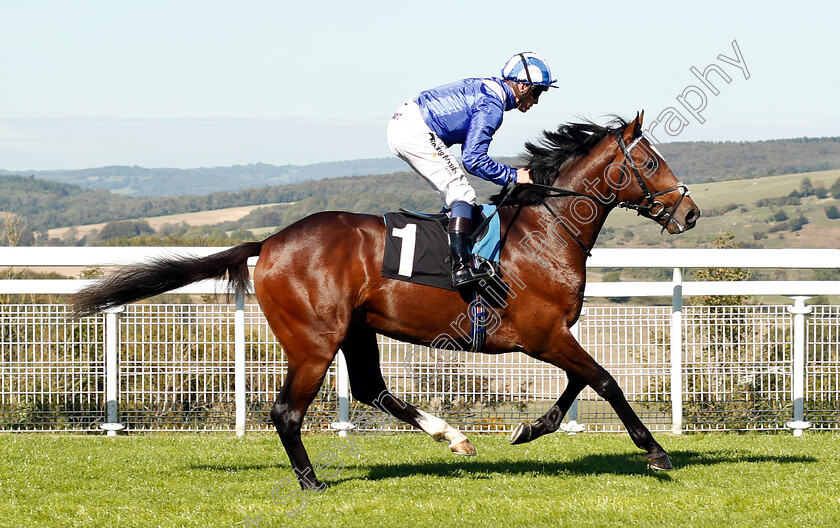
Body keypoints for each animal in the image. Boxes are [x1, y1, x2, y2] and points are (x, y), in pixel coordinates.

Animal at [72, 111, 704, 490]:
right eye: (650, 162)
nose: (690, 211)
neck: (545, 231)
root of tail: (269, 242)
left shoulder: (549, 335)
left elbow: (580, 384)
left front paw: (530, 429)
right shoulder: (543, 334)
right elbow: (605, 382)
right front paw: (655, 453)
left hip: (356, 329)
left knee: (371, 388)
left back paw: (451, 435)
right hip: (315, 341)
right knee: (287, 412)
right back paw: (312, 482)